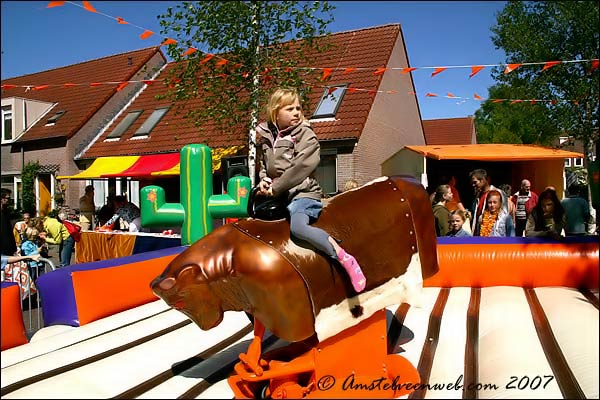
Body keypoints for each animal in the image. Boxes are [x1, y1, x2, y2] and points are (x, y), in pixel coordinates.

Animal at [152, 177, 438, 398]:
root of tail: (404, 183)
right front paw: (254, 367)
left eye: (180, 303)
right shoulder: (263, 306)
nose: (201, 322)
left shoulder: (285, 304)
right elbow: (262, 337)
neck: (227, 259)